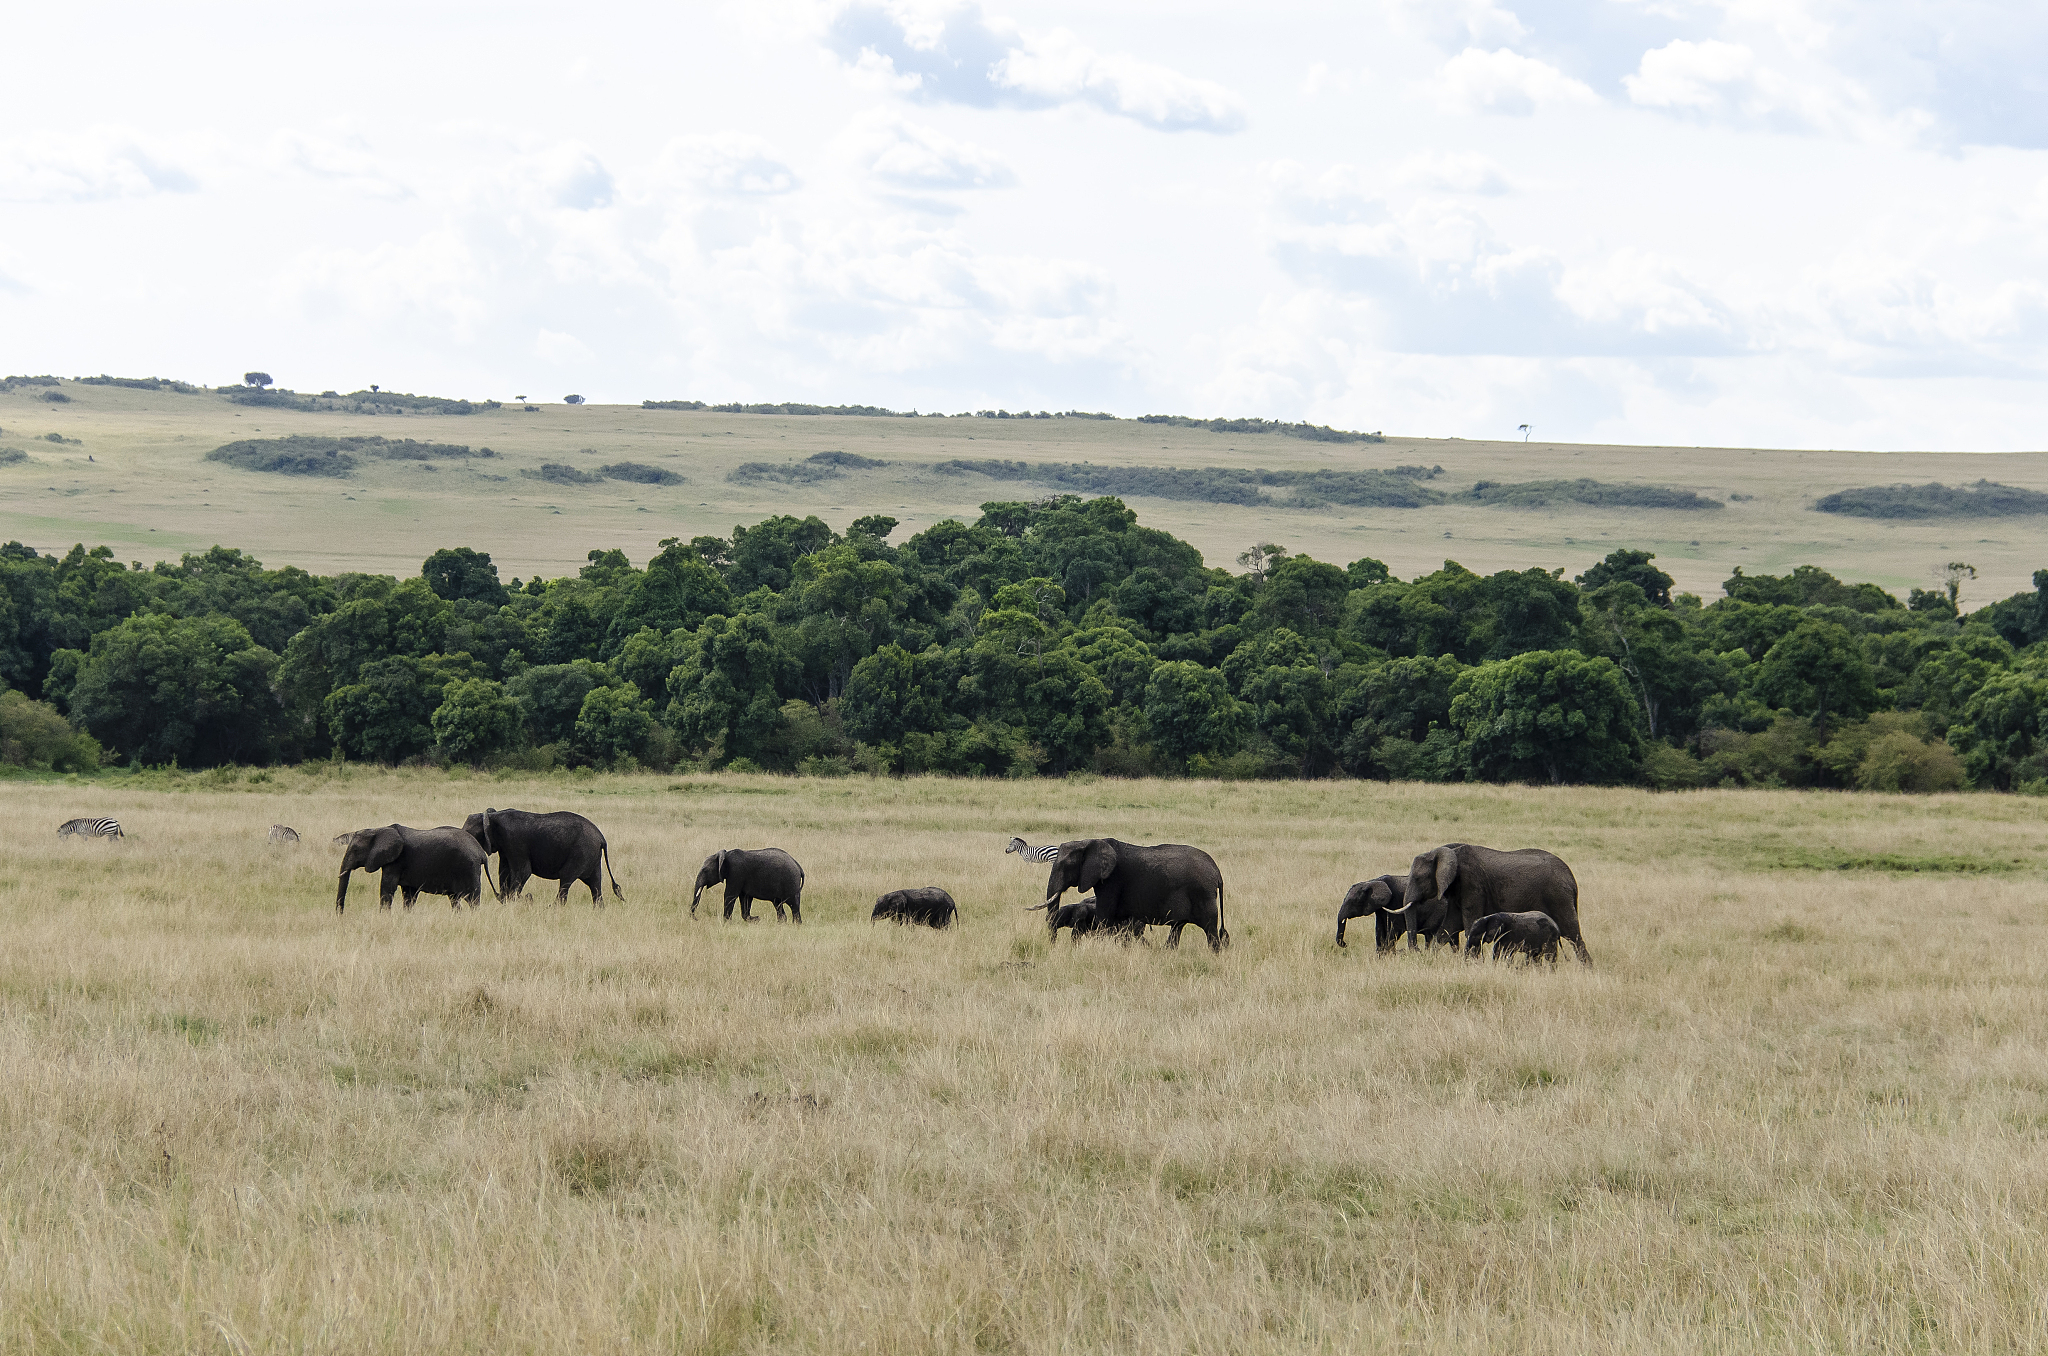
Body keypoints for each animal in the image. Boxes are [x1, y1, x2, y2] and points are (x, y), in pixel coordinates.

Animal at [335, 825, 493, 914]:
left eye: (355, 850)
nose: (341, 915)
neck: (378, 829)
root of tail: (481, 852)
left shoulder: (396, 861)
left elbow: (387, 888)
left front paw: (384, 917)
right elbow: (408, 894)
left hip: (468, 868)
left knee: (472, 900)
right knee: (455, 899)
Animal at [463, 807, 622, 907]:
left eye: (471, 834)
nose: (529, 897)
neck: (492, 817)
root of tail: (602, 838)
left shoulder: (515, 843)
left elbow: (523, 872)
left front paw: (513, 901)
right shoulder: (505, 848)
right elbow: (504, 872)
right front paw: (507, 901)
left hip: (582, 851)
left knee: (567, 878)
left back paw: (552, 907)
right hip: (592, 855)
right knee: (595, 884)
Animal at [1041, 839, 1227, 951]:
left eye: (1066, 866)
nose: (1052, 946)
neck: (1091, 841)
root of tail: (1217, 872)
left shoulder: (1112, 881)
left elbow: (1105, 917)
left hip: (1202, 894)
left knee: (1210, 930)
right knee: (1177, 927)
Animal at [1390, 843, 1591, 965]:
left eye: (1418, 878)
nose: (1416, 951)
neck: (1449, 851)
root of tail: (1572, 879)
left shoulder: (1473, 884)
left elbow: (1469, 924)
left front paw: (1471, 963)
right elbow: (1448, 928)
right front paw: (1431, 960)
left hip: (1558, 896)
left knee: (1573, 935)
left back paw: (1586, 970)